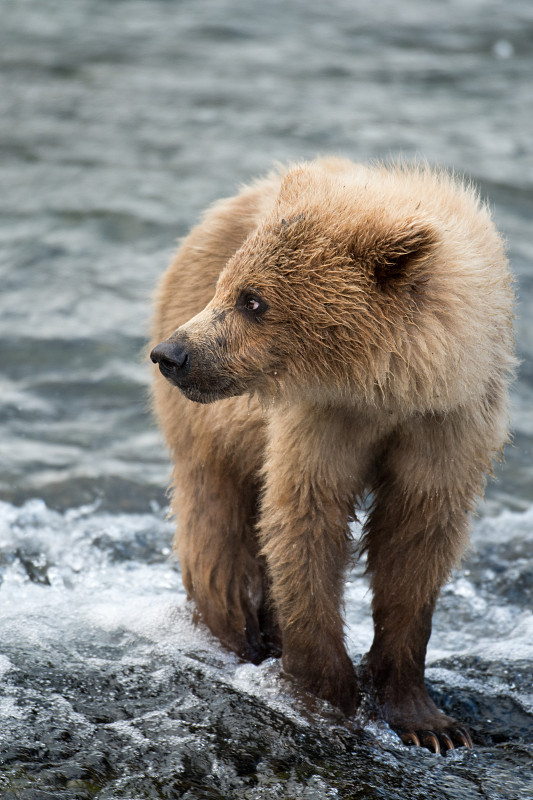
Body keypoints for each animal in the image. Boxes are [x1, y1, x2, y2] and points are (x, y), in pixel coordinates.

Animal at [150, 156, 516, 752]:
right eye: (228, 287)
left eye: (253, 300)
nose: (173, 354)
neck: (386, 388)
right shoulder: (320, 422)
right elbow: (305, 524)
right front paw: (329, 695)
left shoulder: (447, 427)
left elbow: (416, 543)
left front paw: (429, 721)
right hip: (211, 430)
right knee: (215, 522)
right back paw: (238, 635)